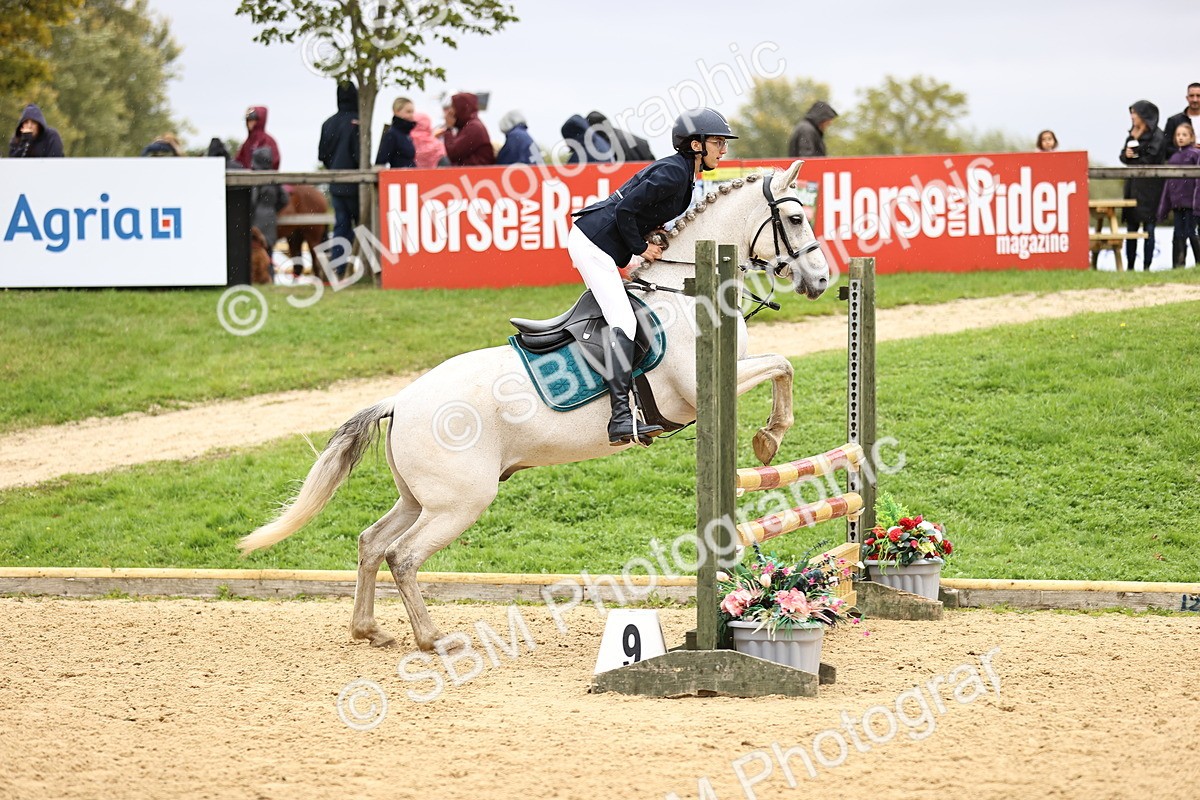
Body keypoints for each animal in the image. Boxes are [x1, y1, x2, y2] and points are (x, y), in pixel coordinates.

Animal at [238, 160, 830, 651]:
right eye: (796, 217)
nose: (823, 279)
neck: (688, 293)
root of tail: (400, 401)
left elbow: (783, 365)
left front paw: (768, 437)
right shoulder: (701, 387)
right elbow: (784, 365)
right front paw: (770, 437)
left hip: (420, 497)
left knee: (370, 543)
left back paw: (369, 630)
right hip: (459, 502)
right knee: (402, 556)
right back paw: (432, 639)